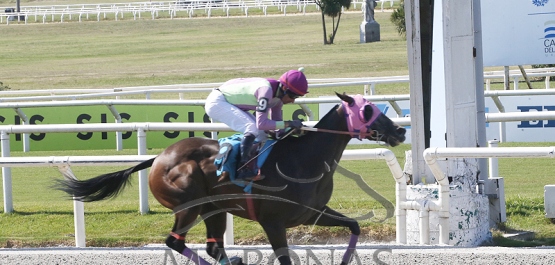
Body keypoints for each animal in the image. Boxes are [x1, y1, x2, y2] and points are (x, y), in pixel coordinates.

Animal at [54, 92, 406, 262]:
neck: (305, 159)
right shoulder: (273, 221)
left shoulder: (312, 214)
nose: (400, 131)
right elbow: (285, 258)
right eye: (367, 111)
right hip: (189, 204)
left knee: (213, 248)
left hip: (216, 209)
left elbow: (354, 226)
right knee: (175, 241)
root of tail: (159, 158)